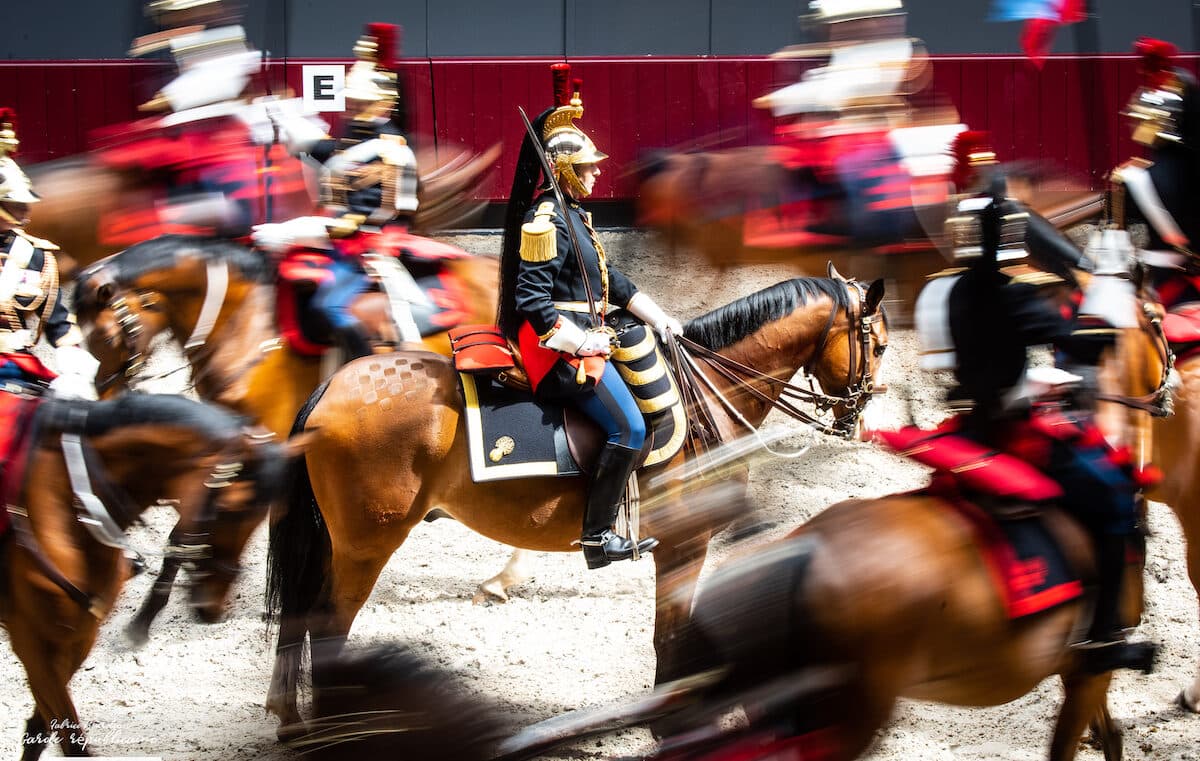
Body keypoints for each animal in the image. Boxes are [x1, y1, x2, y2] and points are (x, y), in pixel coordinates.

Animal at [0, 388, 297, 753]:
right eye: (231, 509)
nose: (212, 607)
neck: (69, 503)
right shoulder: (34, 643)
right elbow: (71, 739)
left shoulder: (78, 638)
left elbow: (43, 730)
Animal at [260, 270, 883, 729]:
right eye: (876, 344)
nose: (856, 417)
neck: (708, 393)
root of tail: (334, 386)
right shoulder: (686, 539)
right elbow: (672, 627)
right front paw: (673, 709)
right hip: (368, 542)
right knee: (328, 624)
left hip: (342, 541)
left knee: (301, 614)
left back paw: (293, 719)